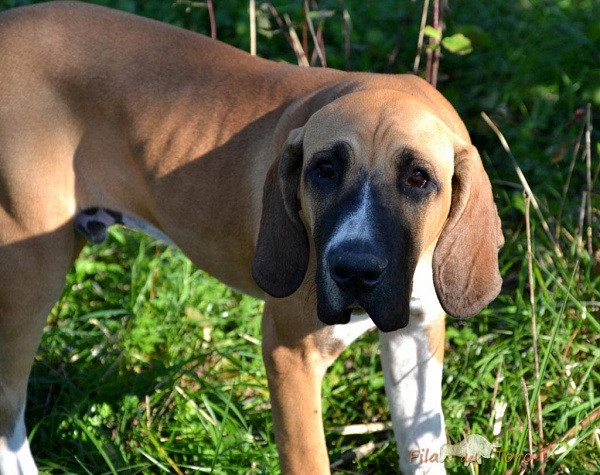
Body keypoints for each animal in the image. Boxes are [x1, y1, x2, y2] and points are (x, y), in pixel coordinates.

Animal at [0, 1, 506, 474]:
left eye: (419, 179)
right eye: (324, 170)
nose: (354, 270)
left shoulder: (417, 335)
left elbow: (422, 443)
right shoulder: (290, 354)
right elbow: (308, 459)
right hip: (30, 280)